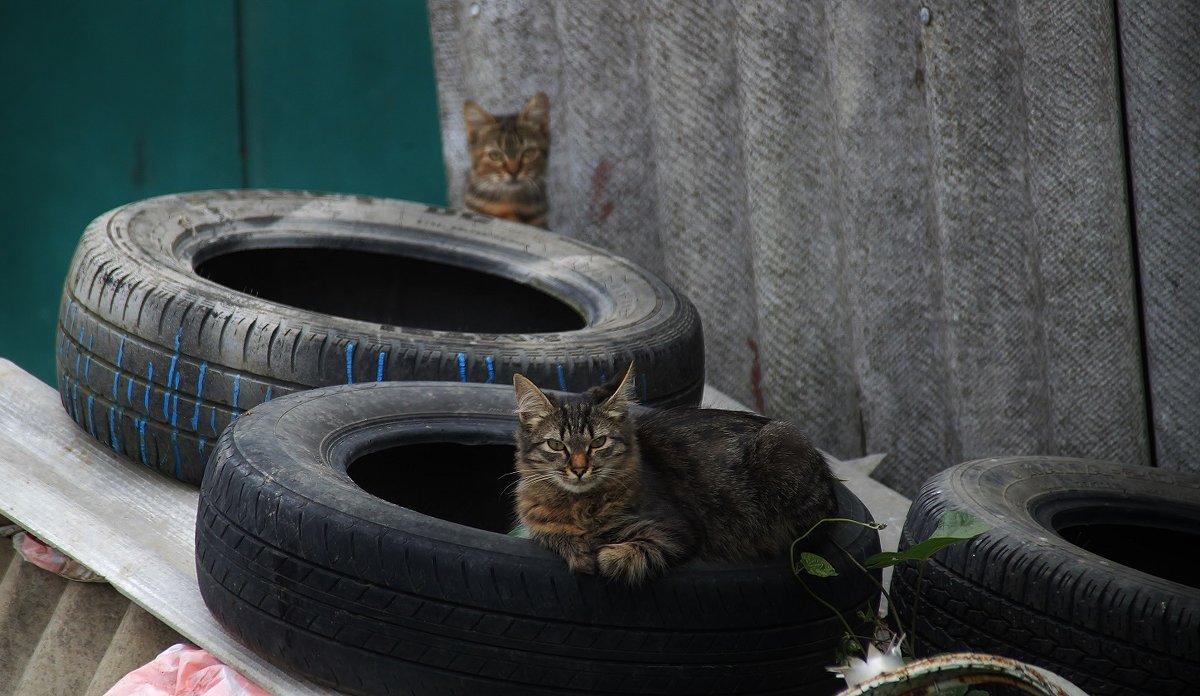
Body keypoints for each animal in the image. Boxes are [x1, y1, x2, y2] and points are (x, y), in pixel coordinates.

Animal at [511, 362, 840, 585]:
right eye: (556, 445)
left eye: (598, 442)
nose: (579, 469)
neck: (579, 506)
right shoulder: (538, 526)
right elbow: (556, 535)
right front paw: (579, 550)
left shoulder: (675, 531)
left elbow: (629, 553)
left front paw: (602, 553)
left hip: (780, 449)